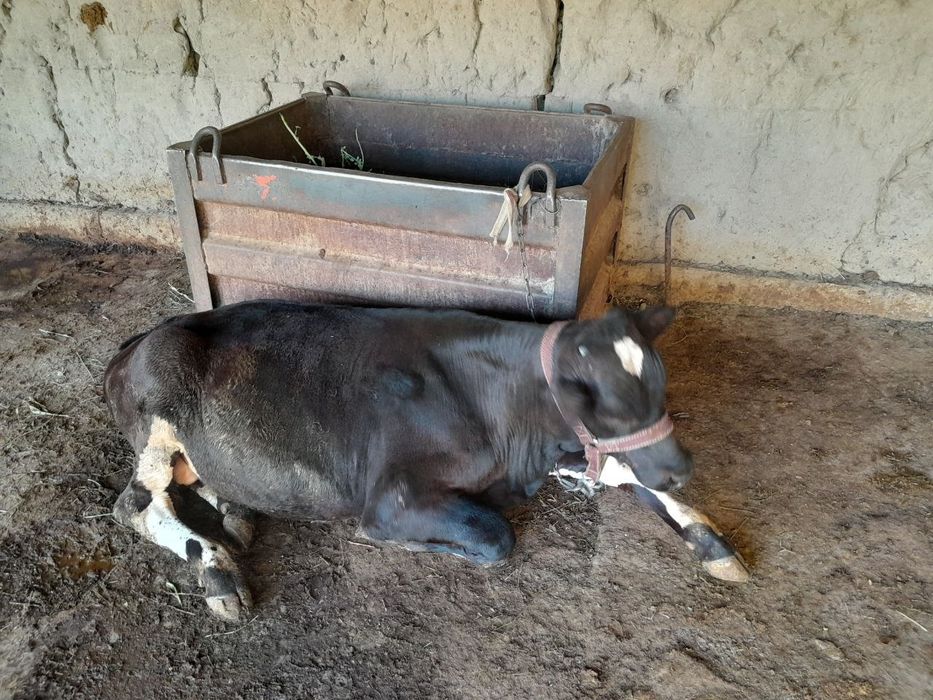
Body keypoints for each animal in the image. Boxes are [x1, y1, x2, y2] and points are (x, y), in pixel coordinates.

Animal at [104, 301, 746, 621]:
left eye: (660, 384)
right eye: (597, 401)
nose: (682, 466)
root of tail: (138, 339)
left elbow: (628, 474)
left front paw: (712, 542)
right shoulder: (392, 498)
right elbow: (496, 536)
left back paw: (236, 518)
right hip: (157, 425)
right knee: (133, 506)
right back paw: (217, 569)